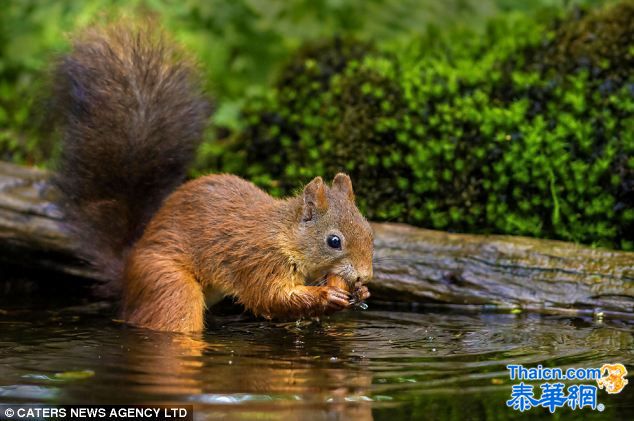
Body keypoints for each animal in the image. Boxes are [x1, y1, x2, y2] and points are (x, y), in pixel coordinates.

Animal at [53, 23, 376, 332]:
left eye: (370, 231)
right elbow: (270, 297)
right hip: (169, 285)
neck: (284, 235)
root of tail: (127, 274)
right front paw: (327, 295)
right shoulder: (258, 261)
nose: (366, 275)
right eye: (334, 241)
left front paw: (360, 292)